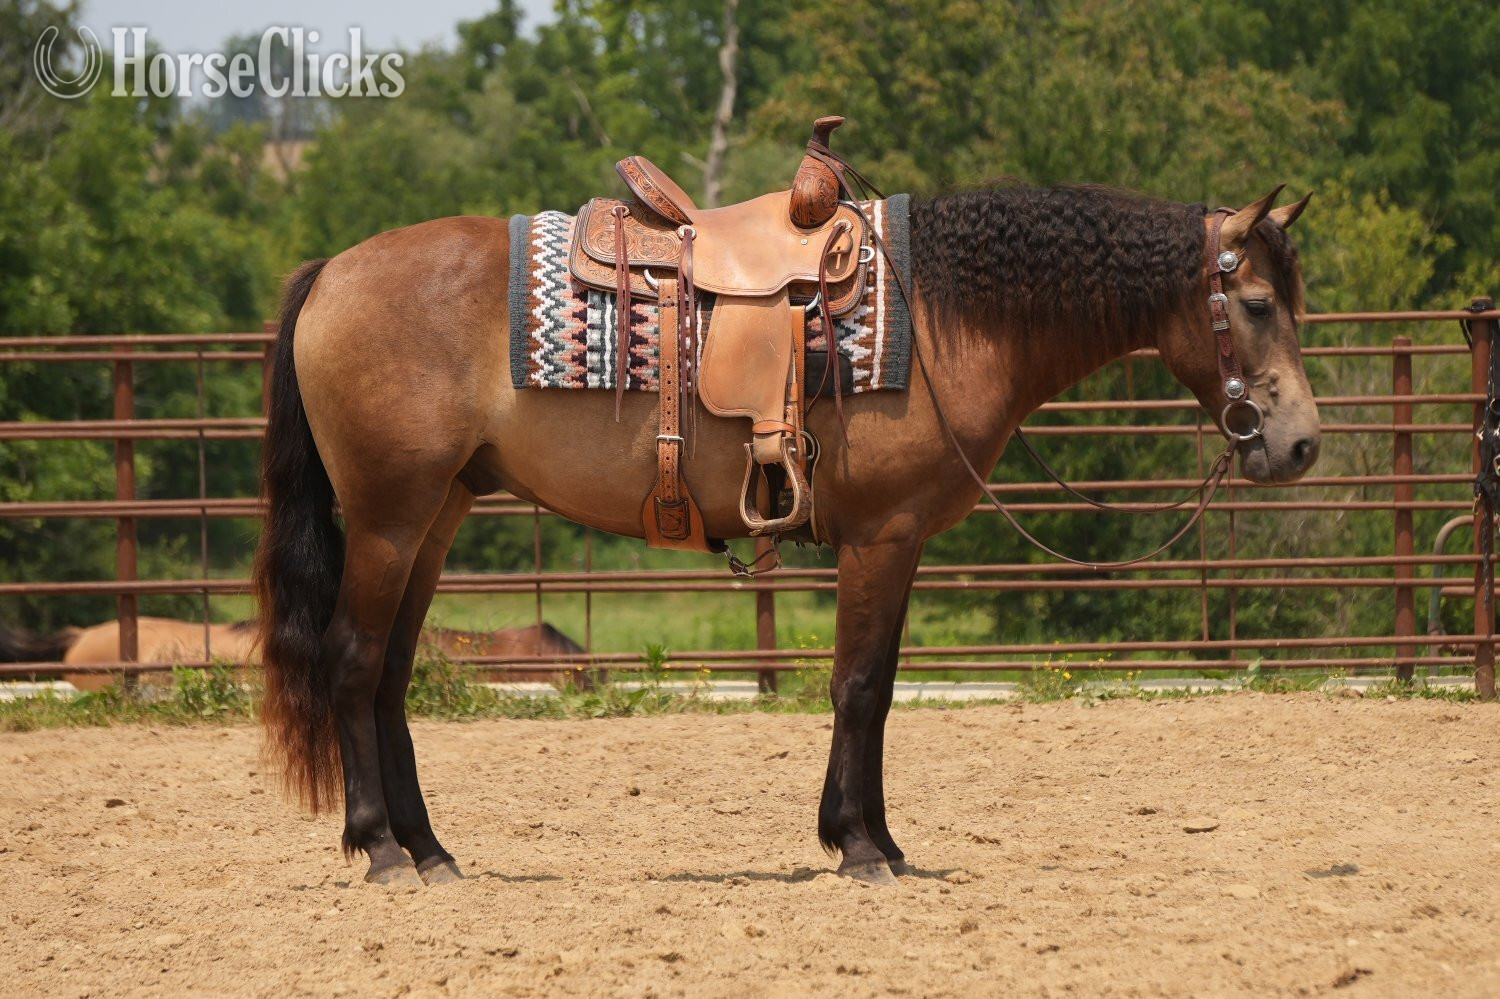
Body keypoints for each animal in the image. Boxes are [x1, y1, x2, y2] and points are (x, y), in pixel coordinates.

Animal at [253, 181, 1320, 886]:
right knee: (353, 662)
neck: (945, 314)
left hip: (435, 517)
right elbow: (860, 686)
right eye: (1257, 304)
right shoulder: (882, 537)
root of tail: (331, 271)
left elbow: (876, 690)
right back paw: (381, 848)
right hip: (388, 519)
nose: (1302, 442)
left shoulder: (901, 542)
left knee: (392, 673)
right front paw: (859, 845)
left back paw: (431, 850)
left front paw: (879, 840)